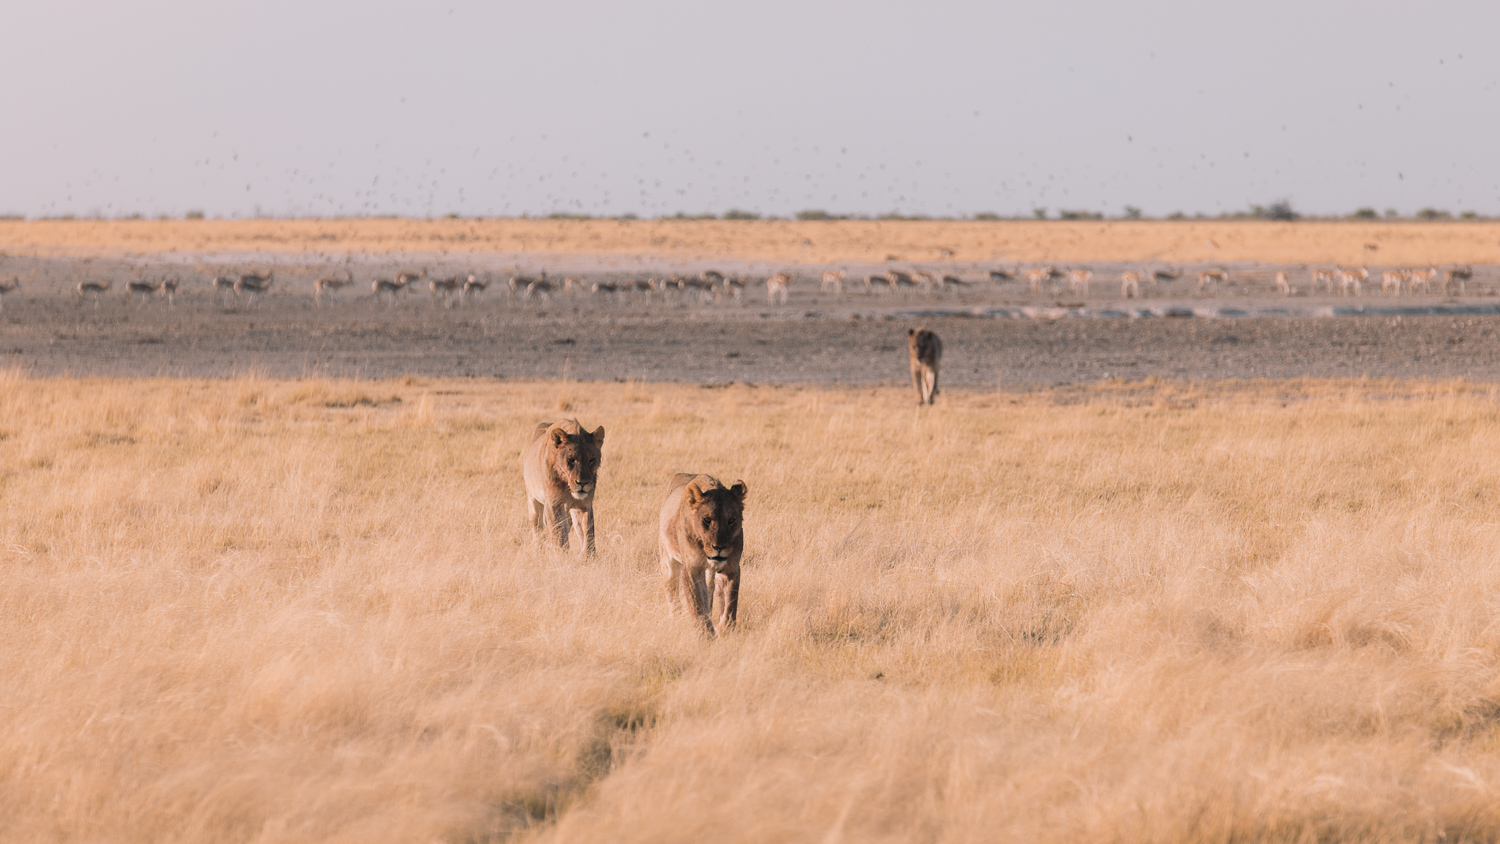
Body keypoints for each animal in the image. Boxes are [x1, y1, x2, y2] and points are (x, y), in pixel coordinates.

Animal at [522, 419, 603, 557]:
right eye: (571, 459)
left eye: (592, 459)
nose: (583, 483)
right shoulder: (554, 505)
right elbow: (560, 536)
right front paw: (561, 558)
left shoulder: (584, 505)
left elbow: (588, 533)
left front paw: (588, 557)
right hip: (533, 499)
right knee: (537, 526)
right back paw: (539, 549)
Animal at [660, 473, 747, 638]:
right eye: (707, 520)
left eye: (731, 520)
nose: (719, 547)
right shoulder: (692, 569)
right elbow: (698, 605)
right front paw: (706, 636)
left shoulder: (731, 568)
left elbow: (730, 603)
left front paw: (725, 630)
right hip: (668, 561)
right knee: (671, 590)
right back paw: (675, 618)